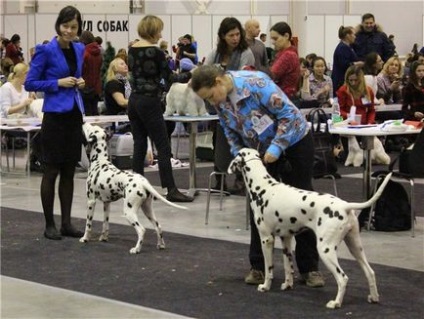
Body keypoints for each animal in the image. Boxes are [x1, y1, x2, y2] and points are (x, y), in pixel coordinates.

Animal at [79, 122, 186, 255]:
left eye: (90, 128)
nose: (84, 122)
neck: (99, 161)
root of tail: (143, 182)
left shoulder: (91, 201)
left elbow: (88, 224)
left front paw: (85, 238)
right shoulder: (106, 203)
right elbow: (105, 224)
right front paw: (104, 238)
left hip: (129, 212)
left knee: (142, 230)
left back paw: (136, 249)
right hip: (147, 210)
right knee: (158, 226)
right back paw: (160, 245)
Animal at [227, 148, 392, 310]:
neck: (263, 187)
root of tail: (345, 205)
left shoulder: (267, 239)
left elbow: (269, 268)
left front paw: (265, 286)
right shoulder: (286, 240)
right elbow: (288, 267)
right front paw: (288, 285)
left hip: (325, 249)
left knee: (343, 278)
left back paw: (336, 303)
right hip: (355, 247)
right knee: (370, 272)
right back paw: (374, 297)